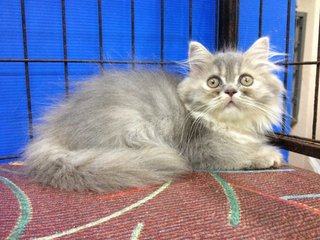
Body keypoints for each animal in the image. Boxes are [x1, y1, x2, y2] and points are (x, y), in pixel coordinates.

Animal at [25, 36, 284, 192]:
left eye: (246, 80)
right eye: (213, 82)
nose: (230, 91)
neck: (231, 126)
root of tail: (53, 133)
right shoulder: (202, 147)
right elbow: (238, 152)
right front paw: (267, 155)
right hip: (133, 128)